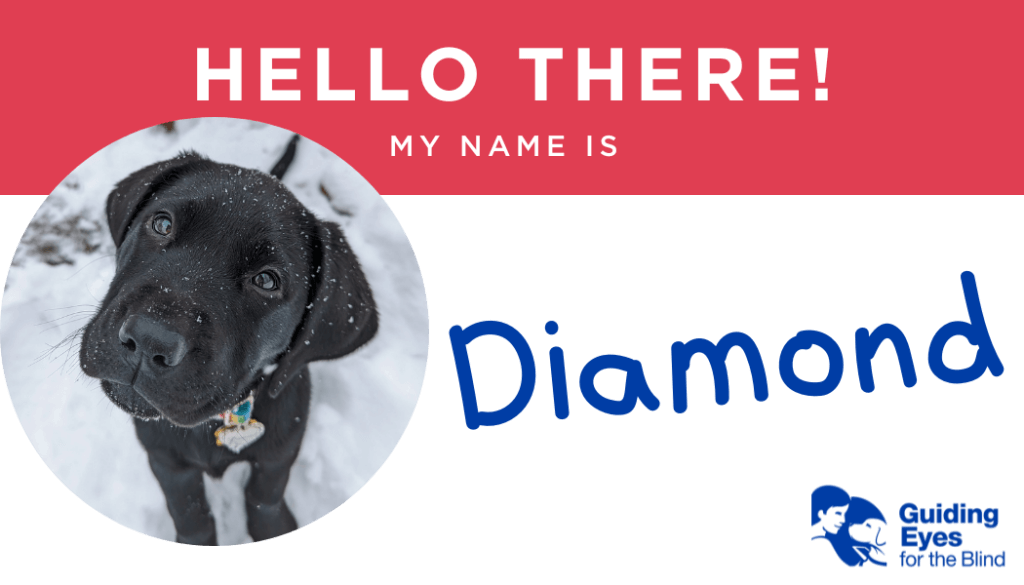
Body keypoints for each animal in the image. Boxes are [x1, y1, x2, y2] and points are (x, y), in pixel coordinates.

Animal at [77, 145, 376, 545]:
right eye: (162, 224)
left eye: (266, 280)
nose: (148, 339)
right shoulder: (164, 457)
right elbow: (189, 510)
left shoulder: (280, 452)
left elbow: (265, 497)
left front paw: (271, 526)